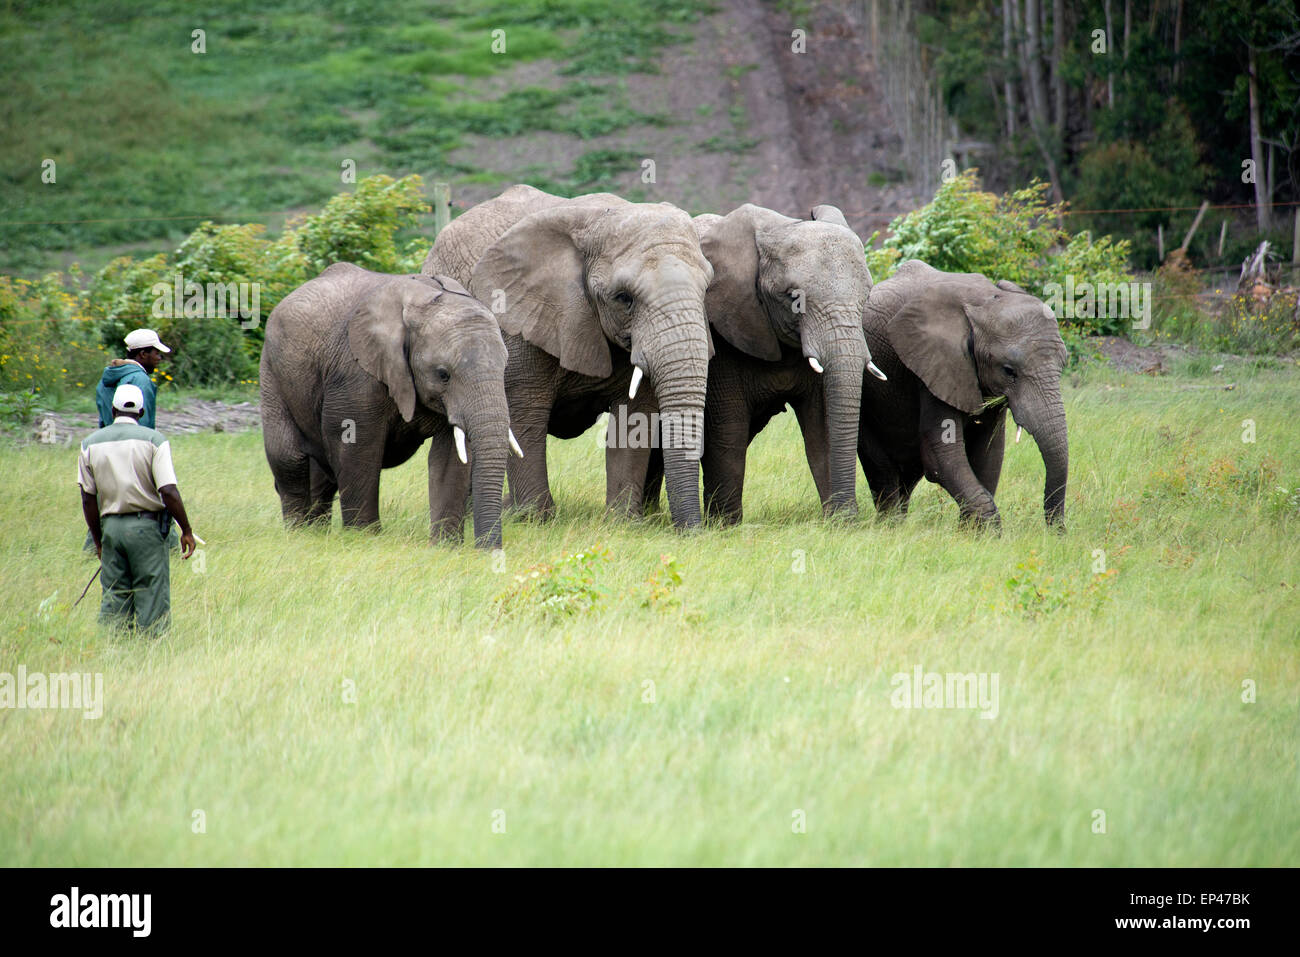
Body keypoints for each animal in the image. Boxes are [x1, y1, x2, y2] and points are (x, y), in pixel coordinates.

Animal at [258, 261, 517, 548]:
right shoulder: (355, 374)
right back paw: (299, 534)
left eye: (504, 367)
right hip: (272, 371)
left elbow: (450, 457)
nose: (490, 552)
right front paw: (363, 539)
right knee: (288, 458)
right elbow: (356, 446)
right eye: (443, 374)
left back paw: (316, 533)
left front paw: (445, 547)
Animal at [423, 184, 712, 530]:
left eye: (707, 289)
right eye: (623, 298)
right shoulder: (517, 319)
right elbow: (524, 411)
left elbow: (635, 415)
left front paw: (623, 523)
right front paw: (535, 520)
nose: (692, 531)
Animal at [637, 201, 889, 522]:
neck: (777, 227)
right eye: (793, 298)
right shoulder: (722, 333)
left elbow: (822, 429)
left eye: (866, 296)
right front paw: (726, 525)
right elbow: (727, 432)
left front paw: (840, 522)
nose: (851, 516)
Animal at [852, 260, 1066, 530]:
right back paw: (890, 527)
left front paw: (970, 533)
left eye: (1063, 364)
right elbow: (941, 455)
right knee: (883, 469)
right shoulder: (934, 365)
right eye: (1009, 371)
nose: (1057, 532)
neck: (984, 302)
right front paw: (988, 532)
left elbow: (989, 454)